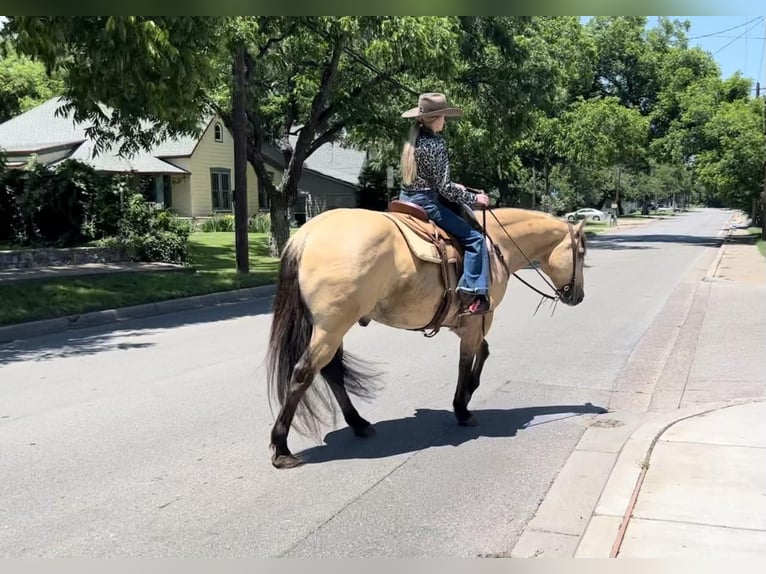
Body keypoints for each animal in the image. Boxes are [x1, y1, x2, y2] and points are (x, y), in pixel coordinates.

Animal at [264, 200, 588, 470]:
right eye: (582, 253)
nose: (578, 296)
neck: (496, 244)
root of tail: (306, 235)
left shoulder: (468, 322)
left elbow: (482, 352)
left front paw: (469, 393)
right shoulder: (478, 319)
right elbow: (467, 361)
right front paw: (462, 408)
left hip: (331, 328)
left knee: (331, 371)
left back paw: (358, 423)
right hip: (331, 328)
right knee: (303, 373)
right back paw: (282, 448)